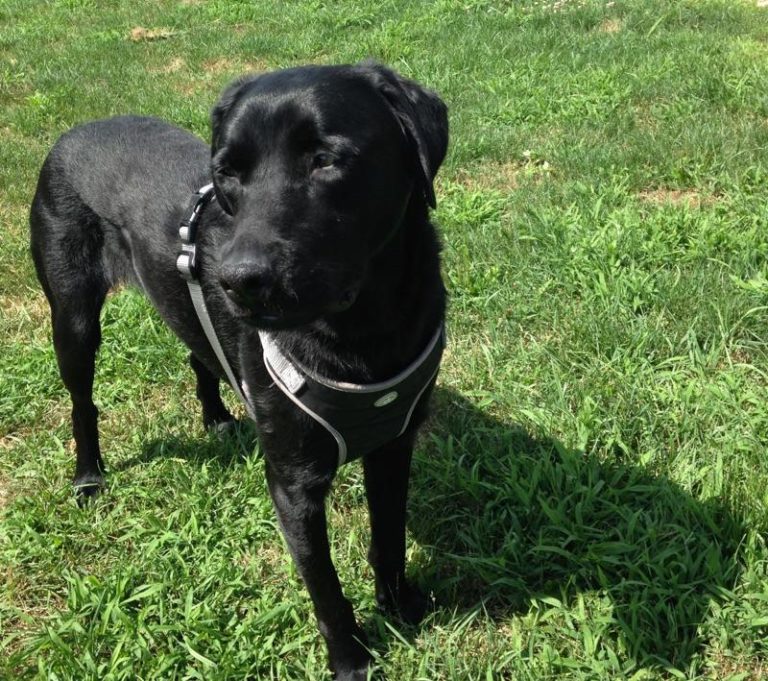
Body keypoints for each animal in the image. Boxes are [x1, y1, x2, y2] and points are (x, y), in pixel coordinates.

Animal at [31, 62, 450, 676]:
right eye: (226, 173)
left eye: (326, 159)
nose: (237, 281)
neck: (361, 336)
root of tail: (73, 132)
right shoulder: (293, 483)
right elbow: (324, 585)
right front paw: (351, 658)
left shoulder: (395, 442)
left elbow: (390, 537)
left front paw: (401, 606)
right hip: (73, 315)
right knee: (82, 401)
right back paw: (89, 476)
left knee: (197, 351)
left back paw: (216, 417)